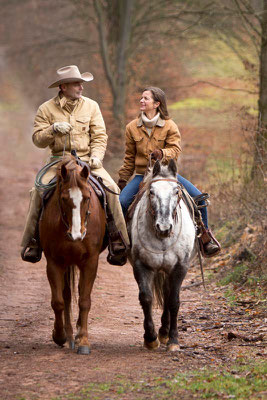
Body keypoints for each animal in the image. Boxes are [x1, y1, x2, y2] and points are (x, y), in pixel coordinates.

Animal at [39, 155, 106, 354]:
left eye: (87, 197)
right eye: (63, 198)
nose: (77, 235)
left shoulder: (90, 262)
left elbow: (84, 300)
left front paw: (83, 340)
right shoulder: (54, 262)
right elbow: (58, 301)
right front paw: (59, 335)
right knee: (66, 295)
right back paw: (68, 336)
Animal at [129, 158, 198, 352]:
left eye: (176, 191)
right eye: (151, 192)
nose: (164, 227)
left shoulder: (180, 267)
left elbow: (173, 301)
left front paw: (173, 340)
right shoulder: (141, 265)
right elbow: (146, 298)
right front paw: (151, 338)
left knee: (167, 296)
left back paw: (165, 333)